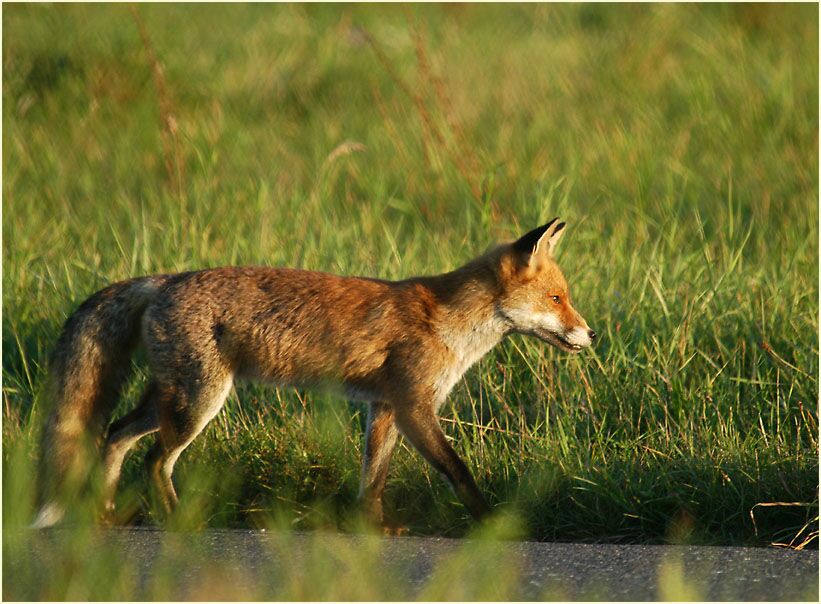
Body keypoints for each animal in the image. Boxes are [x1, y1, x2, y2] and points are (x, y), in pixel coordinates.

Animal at [32, 218, 595, 530]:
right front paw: (489, 523)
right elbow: (458, 470)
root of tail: (165, 280)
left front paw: (372, 530)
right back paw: (178, 521)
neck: (448, 321)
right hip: (197, 402)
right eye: (557, 299)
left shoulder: (384, 408)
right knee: (153, 460)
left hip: (170, 400)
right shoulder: (414, 406)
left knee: (114, 435)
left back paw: (106, 511)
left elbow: (373, 480)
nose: (591, 335)